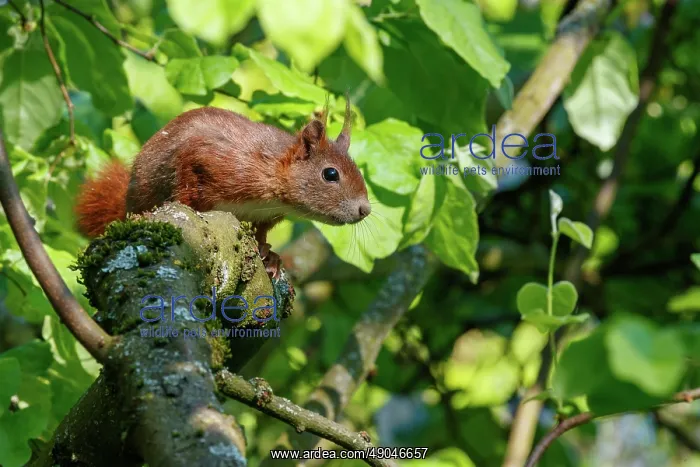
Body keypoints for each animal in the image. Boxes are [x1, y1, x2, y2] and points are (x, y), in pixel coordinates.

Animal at [74, 100, 371, 279]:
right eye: (330, 174)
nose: (365, 210)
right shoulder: (210, 157)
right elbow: (185, 184)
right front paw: (186, 208)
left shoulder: (266, 214)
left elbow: (261, 234)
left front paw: (270, 256)